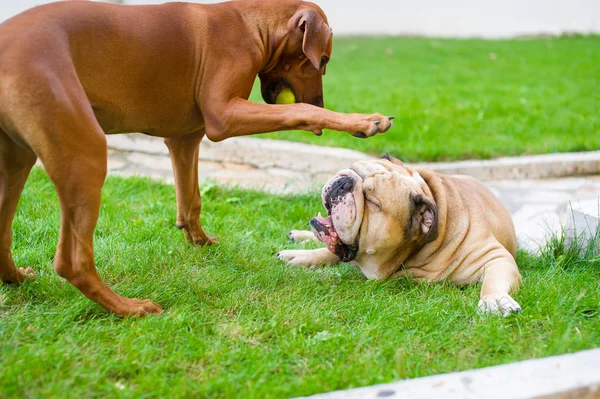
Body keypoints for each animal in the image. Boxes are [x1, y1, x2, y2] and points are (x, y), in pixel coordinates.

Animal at [0, 0, 394, 318]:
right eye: (322, 60)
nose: (321, 101)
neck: (251, 23)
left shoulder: (184, 139)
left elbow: (191, 199)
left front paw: (199, 240)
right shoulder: (223, 117)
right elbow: (296, 111)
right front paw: (361, 121)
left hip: (18, 160)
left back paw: (16, 277)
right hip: (85, 154)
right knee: (72, 261)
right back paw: (128, 308)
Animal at [278, 158, 524, 318]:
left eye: (372, 201)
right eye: (353, 169)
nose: (344, 181)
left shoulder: (493, 256)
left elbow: (494, 280)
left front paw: (494, 300)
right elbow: (328, 254)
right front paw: (301, 256)